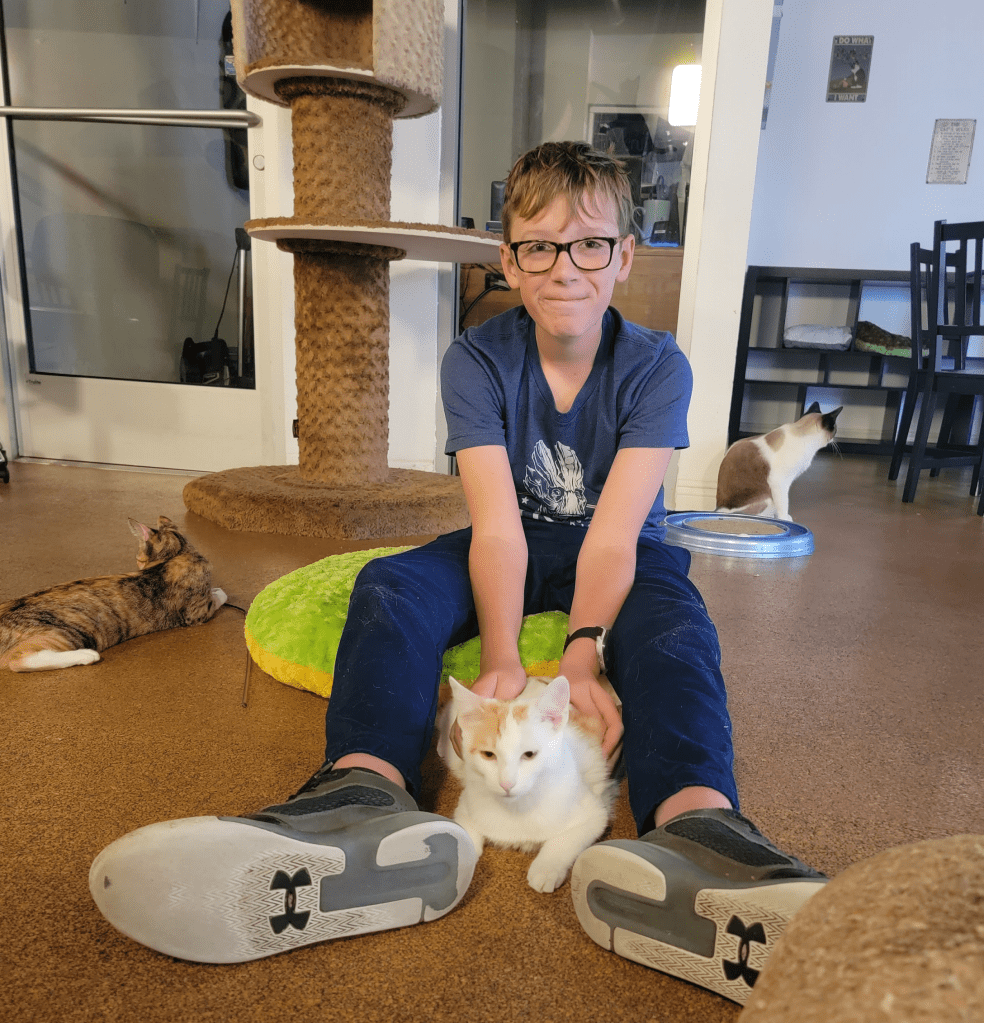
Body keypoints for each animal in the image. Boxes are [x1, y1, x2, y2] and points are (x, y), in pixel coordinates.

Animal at [0, 515, 226, 672]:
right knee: (17, 659)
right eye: (138, 559)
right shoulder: (197, 614)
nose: (138, 564)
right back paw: (87, 655)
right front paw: (218, 591)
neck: (176, 555)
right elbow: (218, 597)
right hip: (67, 632)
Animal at [437, 674, 617, 894]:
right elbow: (463, 834)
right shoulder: (466, 806)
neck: (517, 807)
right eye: (488, 755)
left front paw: (546, 868)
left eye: (529, 754)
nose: (507, 783)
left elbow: (566, 839)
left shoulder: (594, 813)